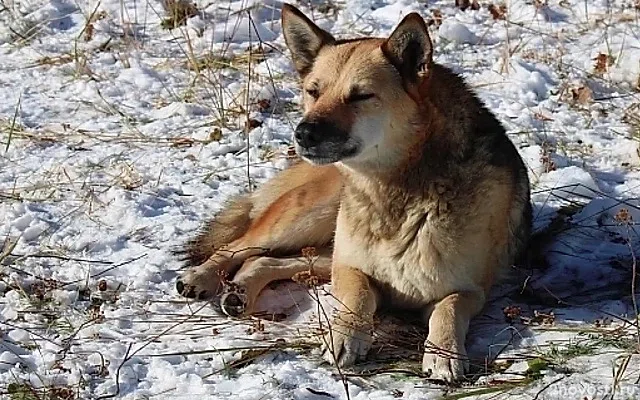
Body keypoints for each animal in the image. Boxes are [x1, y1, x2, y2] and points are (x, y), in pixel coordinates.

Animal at [175, 4, 528, 382]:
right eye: (313, 91)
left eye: (360, 96)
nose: (304, 134)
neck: (399, 195)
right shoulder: (349, 266)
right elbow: (357, 295)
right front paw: (345, 335)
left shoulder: (469, 289)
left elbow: (448, 308)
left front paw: (443, 352)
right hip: (309, 218)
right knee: (239, 246)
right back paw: (200, 276)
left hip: (322, 243)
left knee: (265, 259)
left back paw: (239, 291)